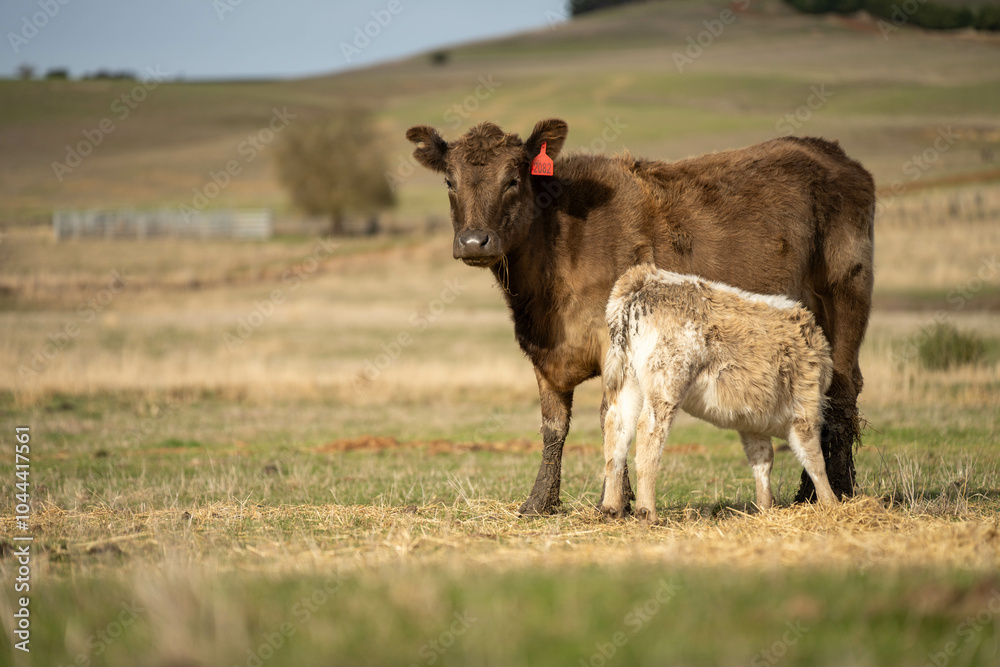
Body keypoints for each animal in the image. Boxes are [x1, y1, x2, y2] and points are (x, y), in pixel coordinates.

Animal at [600, 264, 839, 523]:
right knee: (649, 431)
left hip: (628, 382)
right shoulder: (805, 407)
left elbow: (762, 460)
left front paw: (764, 508)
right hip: (666, 383)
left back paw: (611, 507)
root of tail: (645, 277)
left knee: (616, 430)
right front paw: (831, 503)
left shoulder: (752, 422)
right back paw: (647, 511)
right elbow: (814, 459)